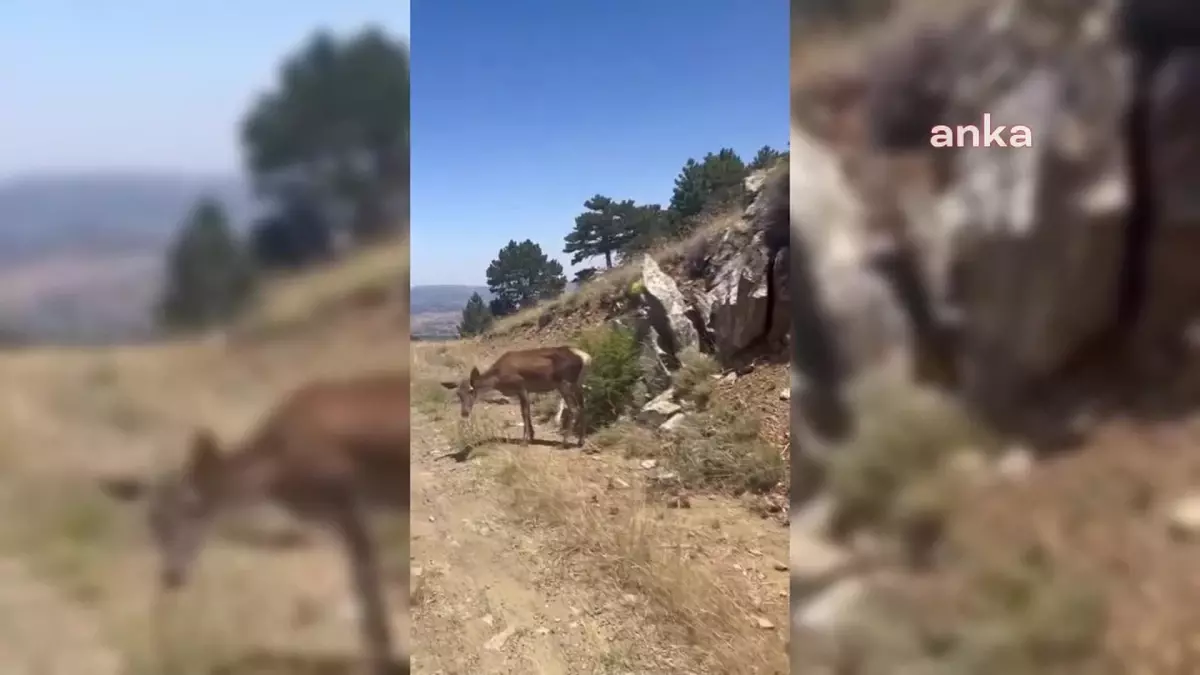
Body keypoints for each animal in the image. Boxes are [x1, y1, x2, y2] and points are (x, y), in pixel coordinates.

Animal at [106, 372, 412, 672]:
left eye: (194, 509)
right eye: (151, 521)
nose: (171, 576)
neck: (273, 468)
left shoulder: (346, 507)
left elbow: (367, 590)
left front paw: (382, 664)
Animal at [441, 345, 590, 446]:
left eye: (472, 390)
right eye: (458, 393)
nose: (464, 412)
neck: (498, 380)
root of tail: (586, 358)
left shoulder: (521, 387)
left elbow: (524, 413)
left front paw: (524, 440)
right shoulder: (525, 390)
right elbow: (526, 413)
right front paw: (532, 436)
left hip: (564, 383)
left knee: (574, 409)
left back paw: (564, 442)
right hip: (578, 384)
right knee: (583, 407)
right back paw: (581, 441)